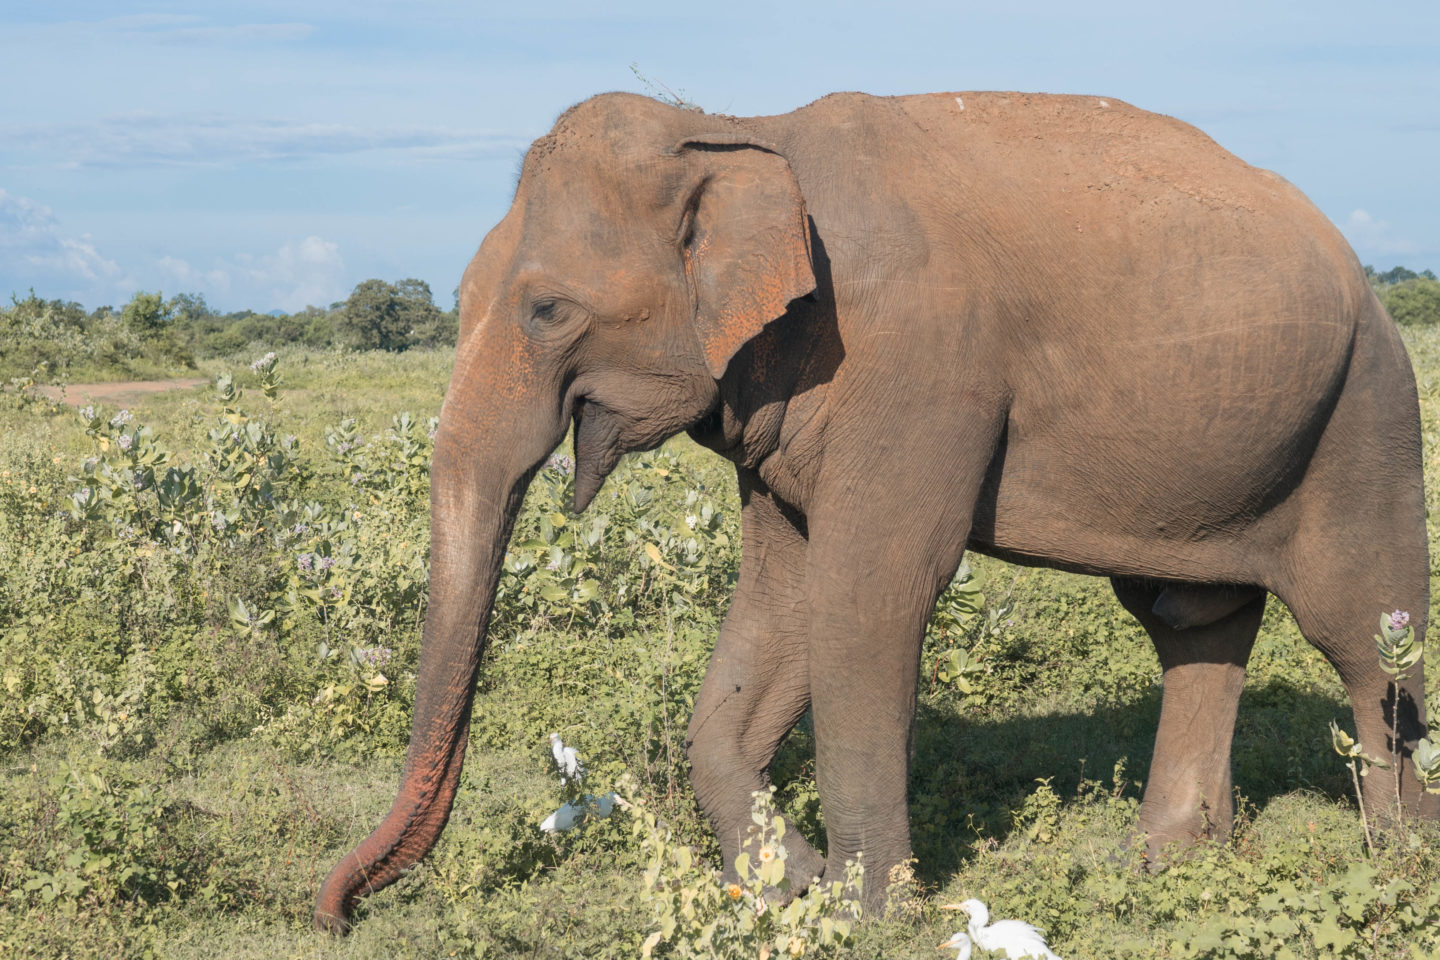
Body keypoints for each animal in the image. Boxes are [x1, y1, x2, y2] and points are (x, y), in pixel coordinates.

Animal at [312, 89, 1428, 932]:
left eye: (547, 311)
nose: (336, 912)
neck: (736, 126)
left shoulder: (913, 362)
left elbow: (868, 595)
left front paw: (869, 914)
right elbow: (783, 600)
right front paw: (793, 886)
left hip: (1367, 410)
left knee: (1366, 637)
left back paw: (1400, 860)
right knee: (1192, 619)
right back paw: (1163, 864)